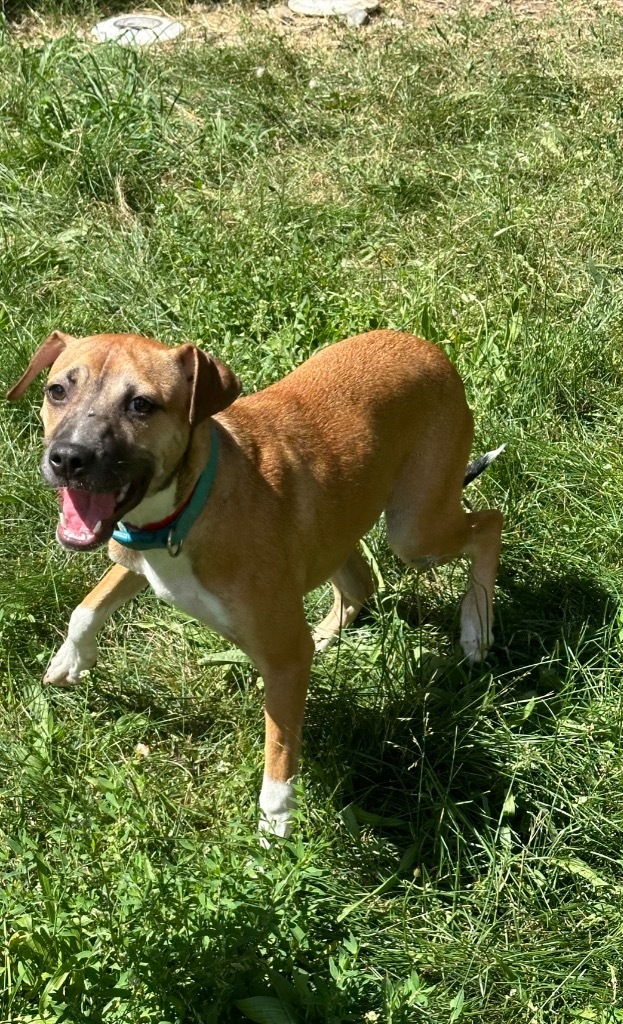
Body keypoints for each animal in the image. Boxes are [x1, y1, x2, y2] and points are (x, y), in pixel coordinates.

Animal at [7, 331, 504, 835]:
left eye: (141, 405)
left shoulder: (283, 662)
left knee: (488, 525)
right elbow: (86, 607)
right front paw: (70, 660)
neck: (187, 510)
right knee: (358, 584)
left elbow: (280, 753)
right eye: (57, 391)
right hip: (342, 526)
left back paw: (476, 628)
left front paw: (276, 824)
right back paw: (327, 635)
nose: (68, 458)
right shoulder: (132, 557)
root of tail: (429, 349)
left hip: (415, 530)